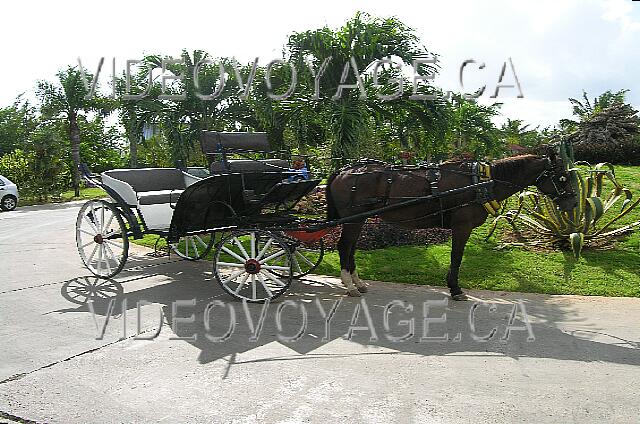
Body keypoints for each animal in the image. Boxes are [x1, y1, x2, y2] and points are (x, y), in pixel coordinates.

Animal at [328, 151, 576, 300]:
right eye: (562, 177)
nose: (573, 203)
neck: (482, 182)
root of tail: (344, 171)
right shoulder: (462, 226)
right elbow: (457, 256)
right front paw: (455, 289)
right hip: (354, 218)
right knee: (344, 246)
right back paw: (350, 285)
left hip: (359, 219)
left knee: (350, 248)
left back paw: (358, 283)